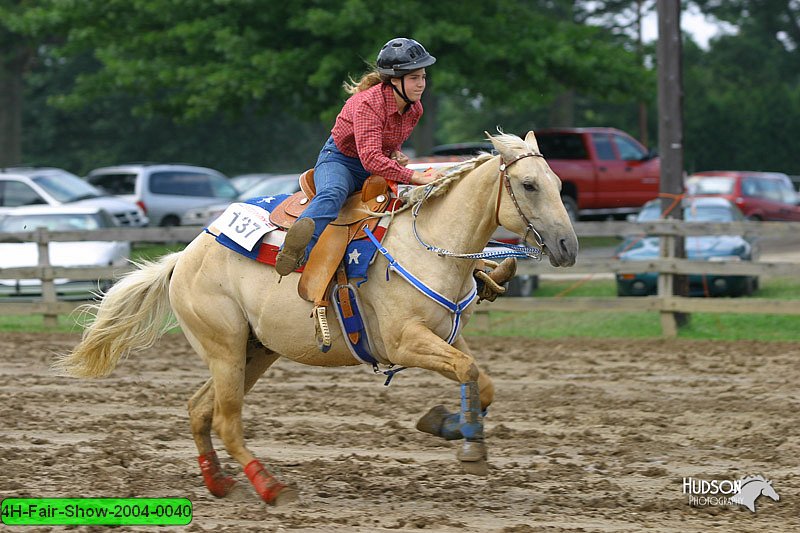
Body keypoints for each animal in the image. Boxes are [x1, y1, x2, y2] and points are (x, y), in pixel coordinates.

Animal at [59, 131, 580, 504]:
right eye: (529, 185)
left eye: (558, 185)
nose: (567, 247)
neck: (431, 244)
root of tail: (181, 260)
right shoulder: (405, 341)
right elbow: (470, 373)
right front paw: (470, 448)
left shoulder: (446, 337)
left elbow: (480, 379)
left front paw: (445, 425)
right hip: (224, 348)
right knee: (226, 419)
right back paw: (271, 488)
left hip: (254, 352)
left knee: (198, 408)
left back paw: (219, 484)